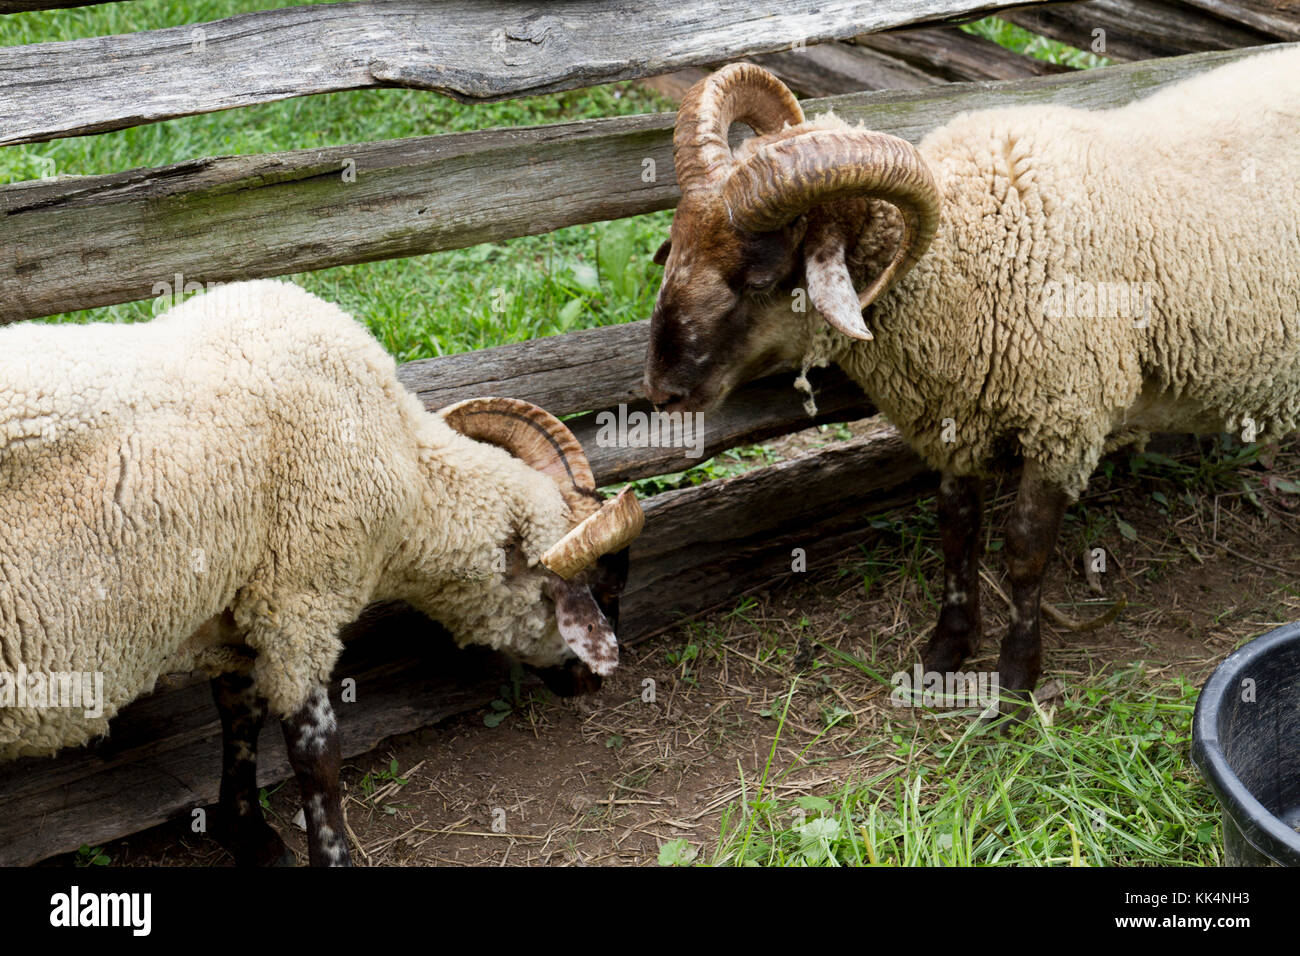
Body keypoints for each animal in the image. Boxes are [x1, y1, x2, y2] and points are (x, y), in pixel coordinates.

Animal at [0, 278, 644, 868]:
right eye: (599, 589)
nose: (594, 684)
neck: (408, 472)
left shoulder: (241, 610)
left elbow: (240, 717)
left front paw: (248, 834)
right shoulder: (299, 602)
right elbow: (318, 757)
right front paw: (328, 853)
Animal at [639, 50, 1300, 712]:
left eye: (758, 277)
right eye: (676, 245)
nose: (662, 392)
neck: (970, 247)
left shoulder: (1064, 419)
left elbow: (1025, 550)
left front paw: (1015, 677)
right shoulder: (953, 418)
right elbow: (957, 532)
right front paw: (944, 654)